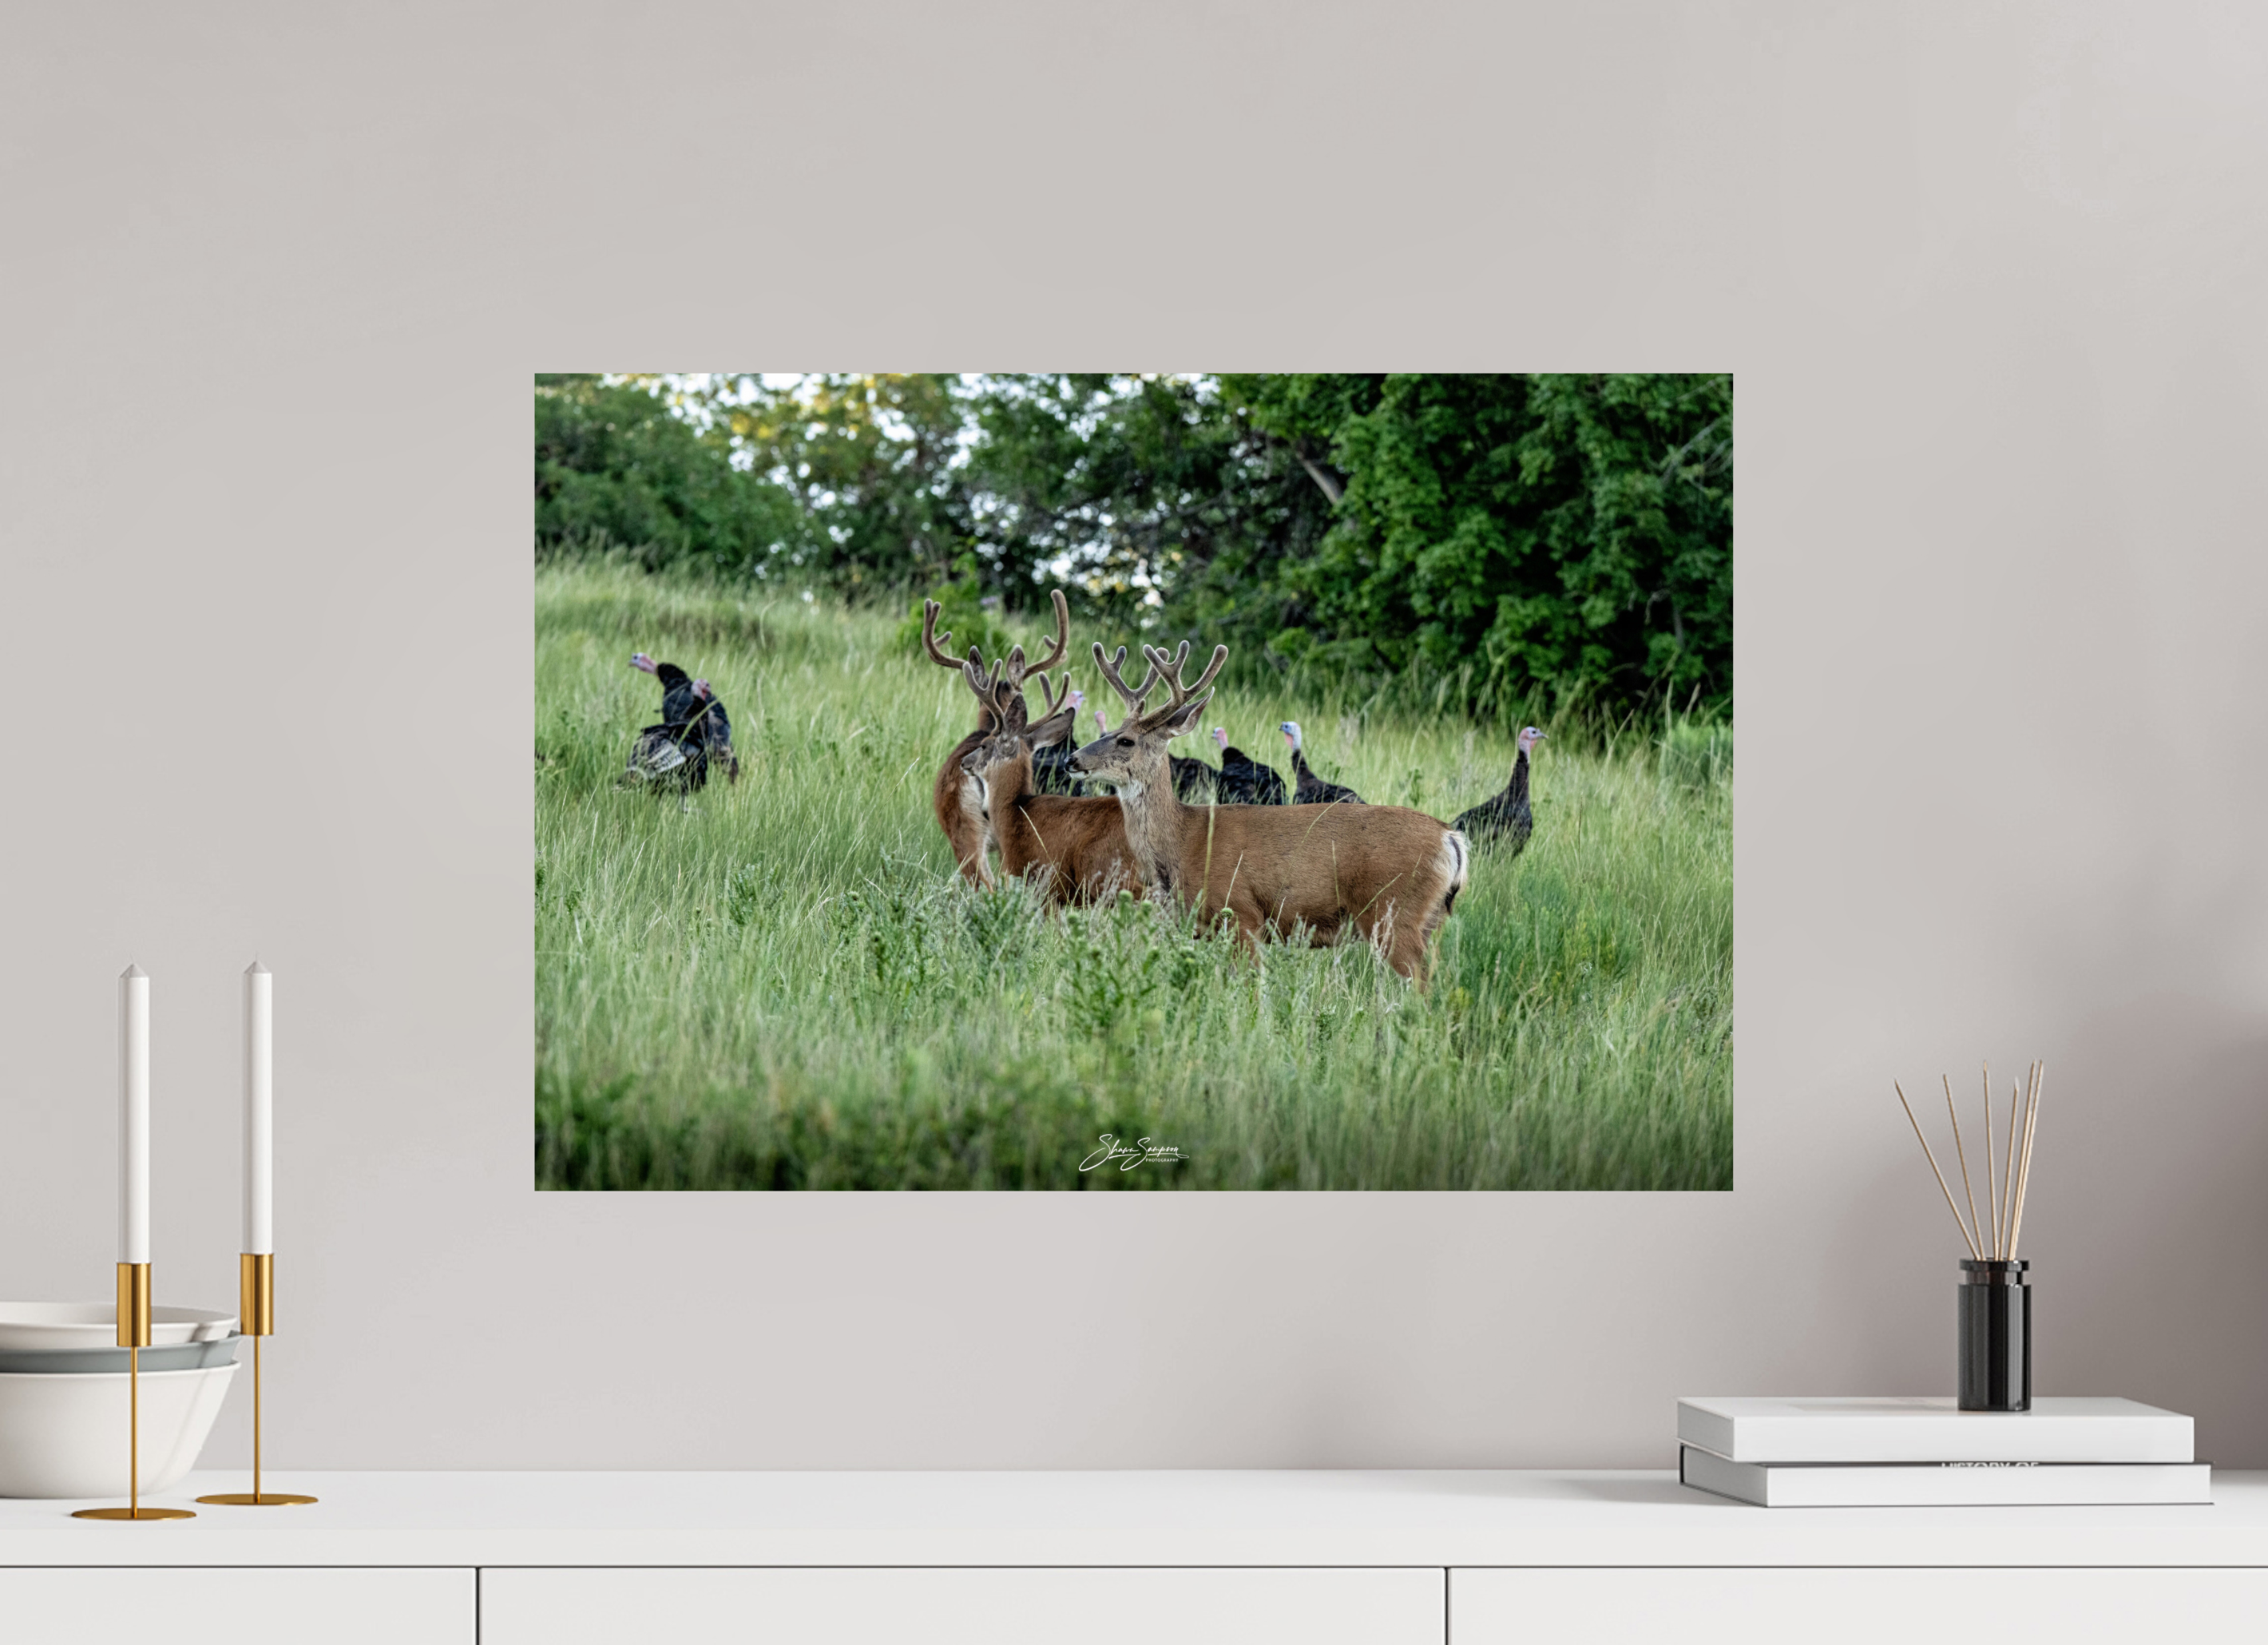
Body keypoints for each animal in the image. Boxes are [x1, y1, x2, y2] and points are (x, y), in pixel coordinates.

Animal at [1069, 640, 1469, 985]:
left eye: (1126, 740)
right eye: (1112, 730)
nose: (1072, 759)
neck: (1186, 842)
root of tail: (1450, 837)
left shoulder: (1241, 913)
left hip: (1394, 912)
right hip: (1429, 920)